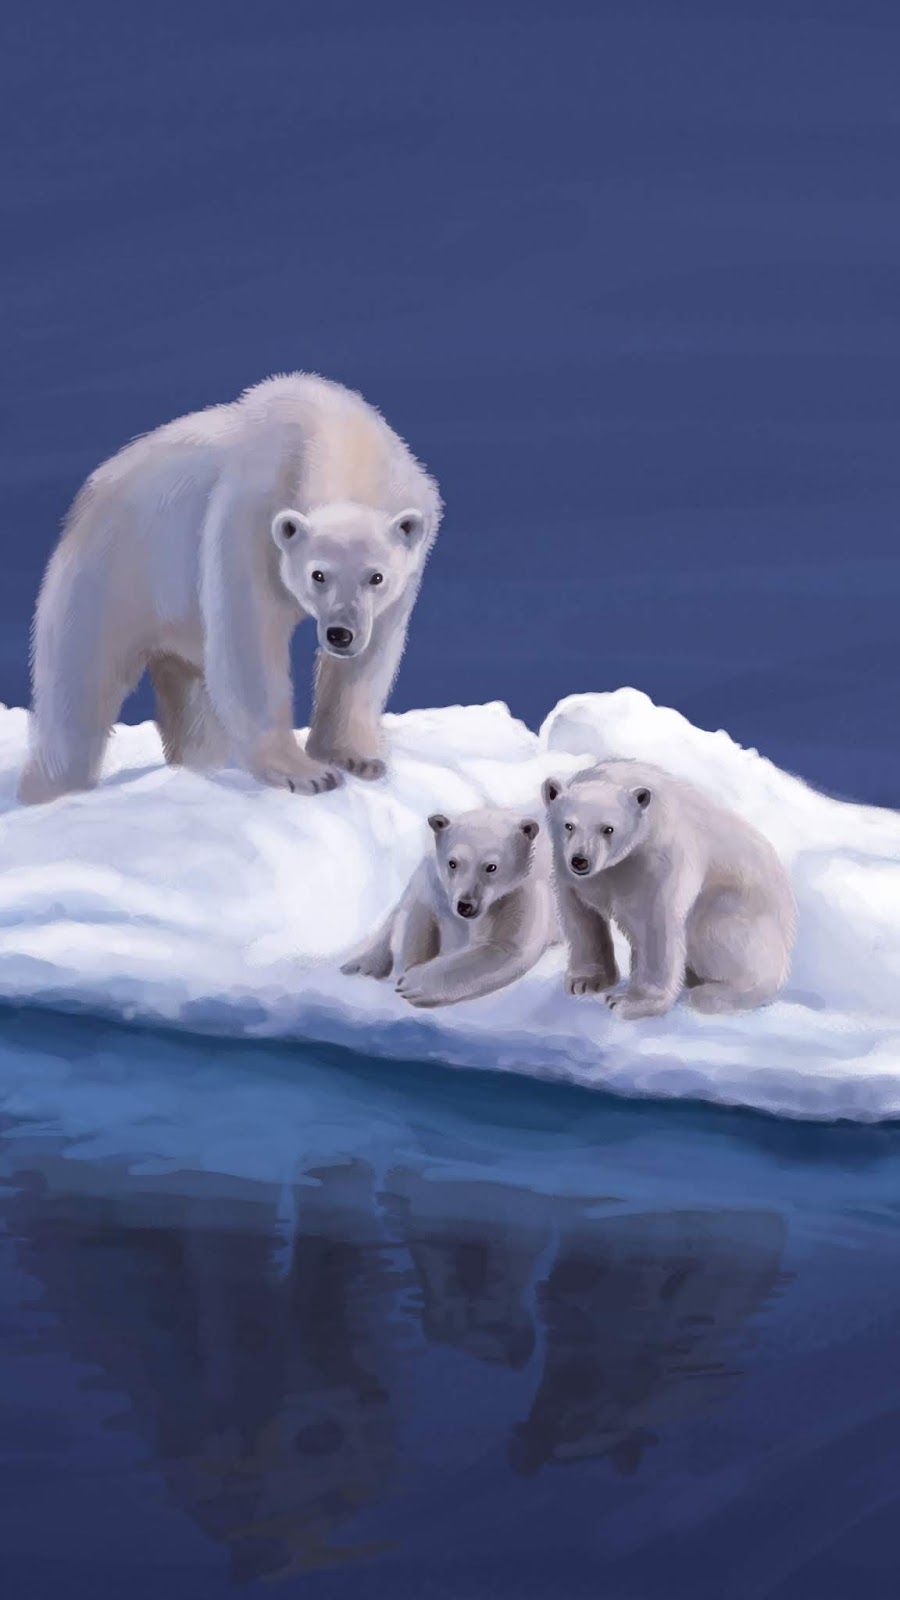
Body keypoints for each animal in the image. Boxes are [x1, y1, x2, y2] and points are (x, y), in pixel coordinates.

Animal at [18, 372, 442, 804]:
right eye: (317, 575)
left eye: (376, 577)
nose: (340, 633)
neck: (337, 435)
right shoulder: (250, 518)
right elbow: (250, 641)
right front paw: (307, 773)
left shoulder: (411, 540)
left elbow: (371, 655)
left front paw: (357, 757)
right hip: (112, 575)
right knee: (79, 692)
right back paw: (51, 790)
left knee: (189, 692)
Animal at [341, 807, 557, 1008]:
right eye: (452, 863)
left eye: (491, 867)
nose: (466, 905)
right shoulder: (433, 881)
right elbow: (415, 916)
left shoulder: (519, 892)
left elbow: (505, 947)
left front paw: (411, 984)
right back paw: (359, 964)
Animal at [542, 759, 796, 1018]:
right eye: (569, 825)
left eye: (608, 829)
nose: (580, 860)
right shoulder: (571, 867)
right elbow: (580, 914)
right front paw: (584, 982)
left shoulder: (659, 855)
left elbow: (657, 923)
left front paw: (630, 1002)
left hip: (739, 912)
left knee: (715, 932)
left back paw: (712, 995)